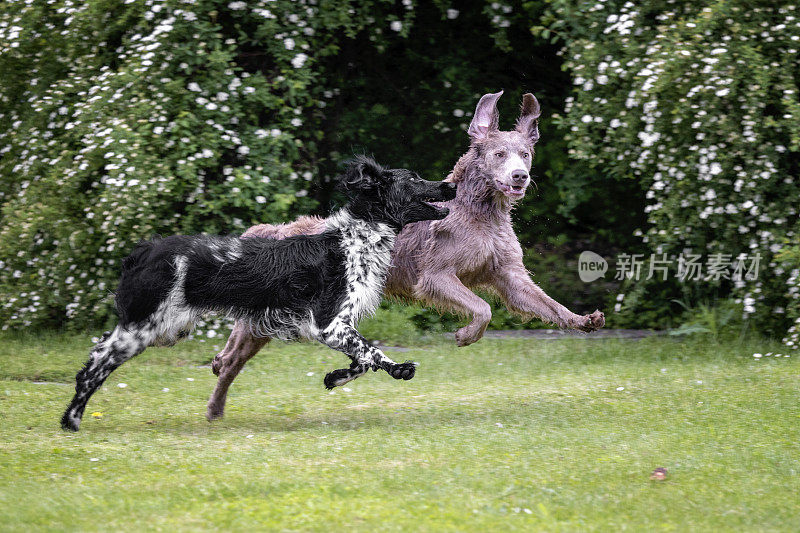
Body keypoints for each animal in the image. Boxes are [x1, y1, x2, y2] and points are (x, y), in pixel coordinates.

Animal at [61, 156, 456, 430]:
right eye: (414, 178)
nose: (450, 186)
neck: (356, 237)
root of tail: (144, 252)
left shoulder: (334, 326)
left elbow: (360, 360)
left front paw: (334, 377)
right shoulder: (328, 323)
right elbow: (372, 352)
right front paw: (400, 368)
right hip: (146, 327)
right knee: (93, 367)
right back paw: (72, 420)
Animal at [206, 90, 608, 420]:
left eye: (525, 154)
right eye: (499, 154)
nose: (520, 176)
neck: (481, 212)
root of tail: (268, 232)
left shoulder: (507, 272)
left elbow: (545, 303)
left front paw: (583, 319)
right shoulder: (435, 275)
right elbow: (483, 308)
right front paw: (465, 335)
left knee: (235, 352)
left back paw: (217, 386)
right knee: (235, 356)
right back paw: (217, 391)